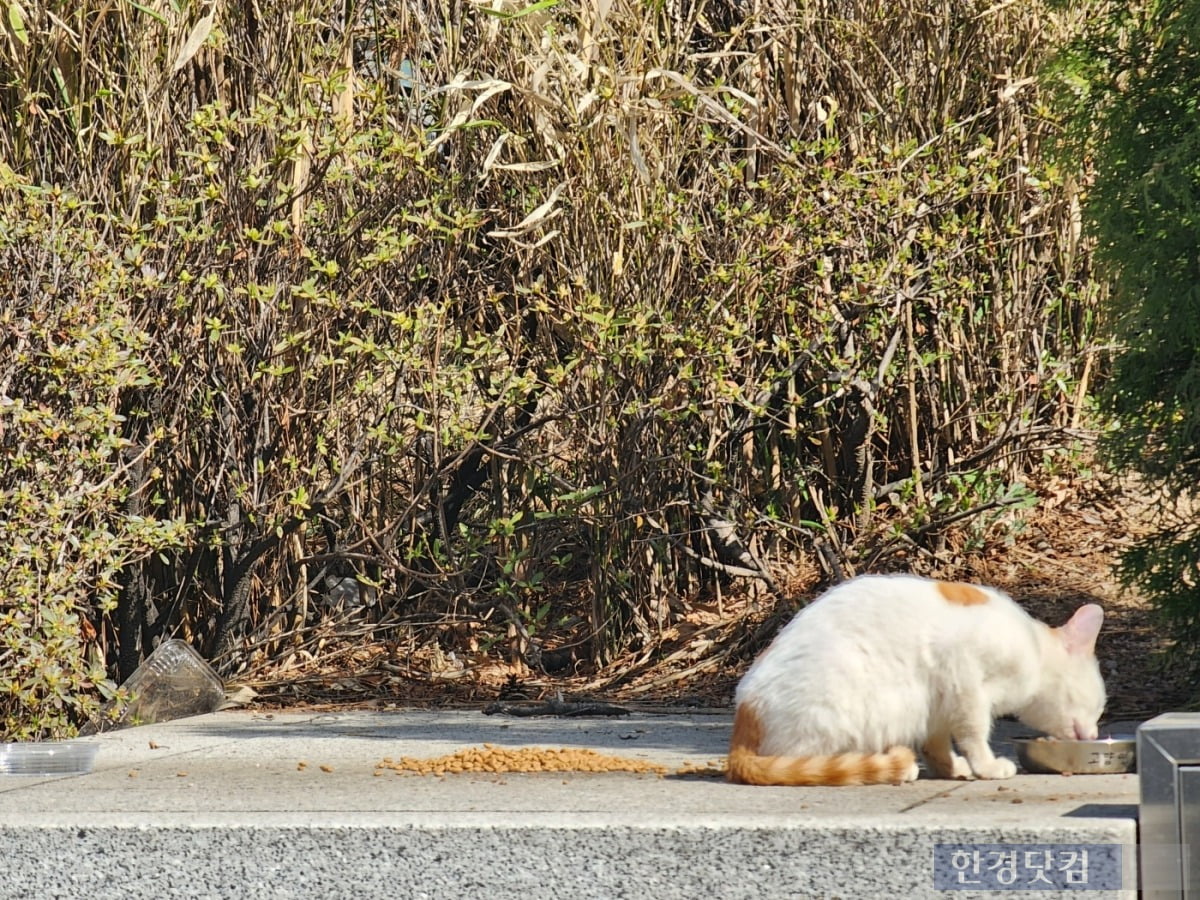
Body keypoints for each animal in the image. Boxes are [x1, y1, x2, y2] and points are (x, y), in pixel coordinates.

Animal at [720, 573, 1104, 787]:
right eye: (1099, 707)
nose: (1095, 734)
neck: (1034, 649)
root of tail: (745, 712)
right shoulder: (963, 677)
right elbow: (974, 732)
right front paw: (986, 766)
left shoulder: (938, 703)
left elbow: (938, 744)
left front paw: (952, 768)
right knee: (805, 762)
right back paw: (888, 767)